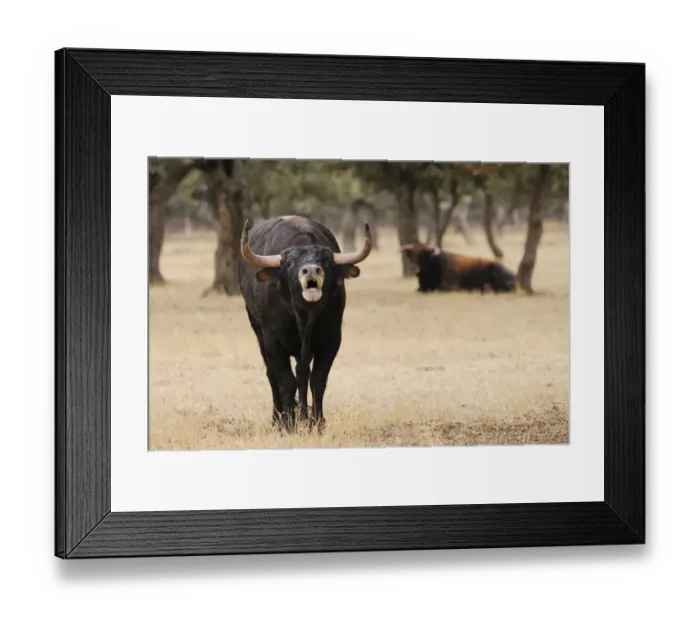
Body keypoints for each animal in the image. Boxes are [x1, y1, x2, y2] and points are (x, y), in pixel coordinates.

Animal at [238, 215, 372, 434]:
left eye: (327, 262)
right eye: (290, 263)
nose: (311, 270)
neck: (304, 317)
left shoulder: (331, 340)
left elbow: (317, 380)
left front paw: (316, 423)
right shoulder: (272, 341)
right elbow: (285, 381)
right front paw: (287, 424)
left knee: (302, 373)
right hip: (257, 331)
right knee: (272, 375)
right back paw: (278, 418)